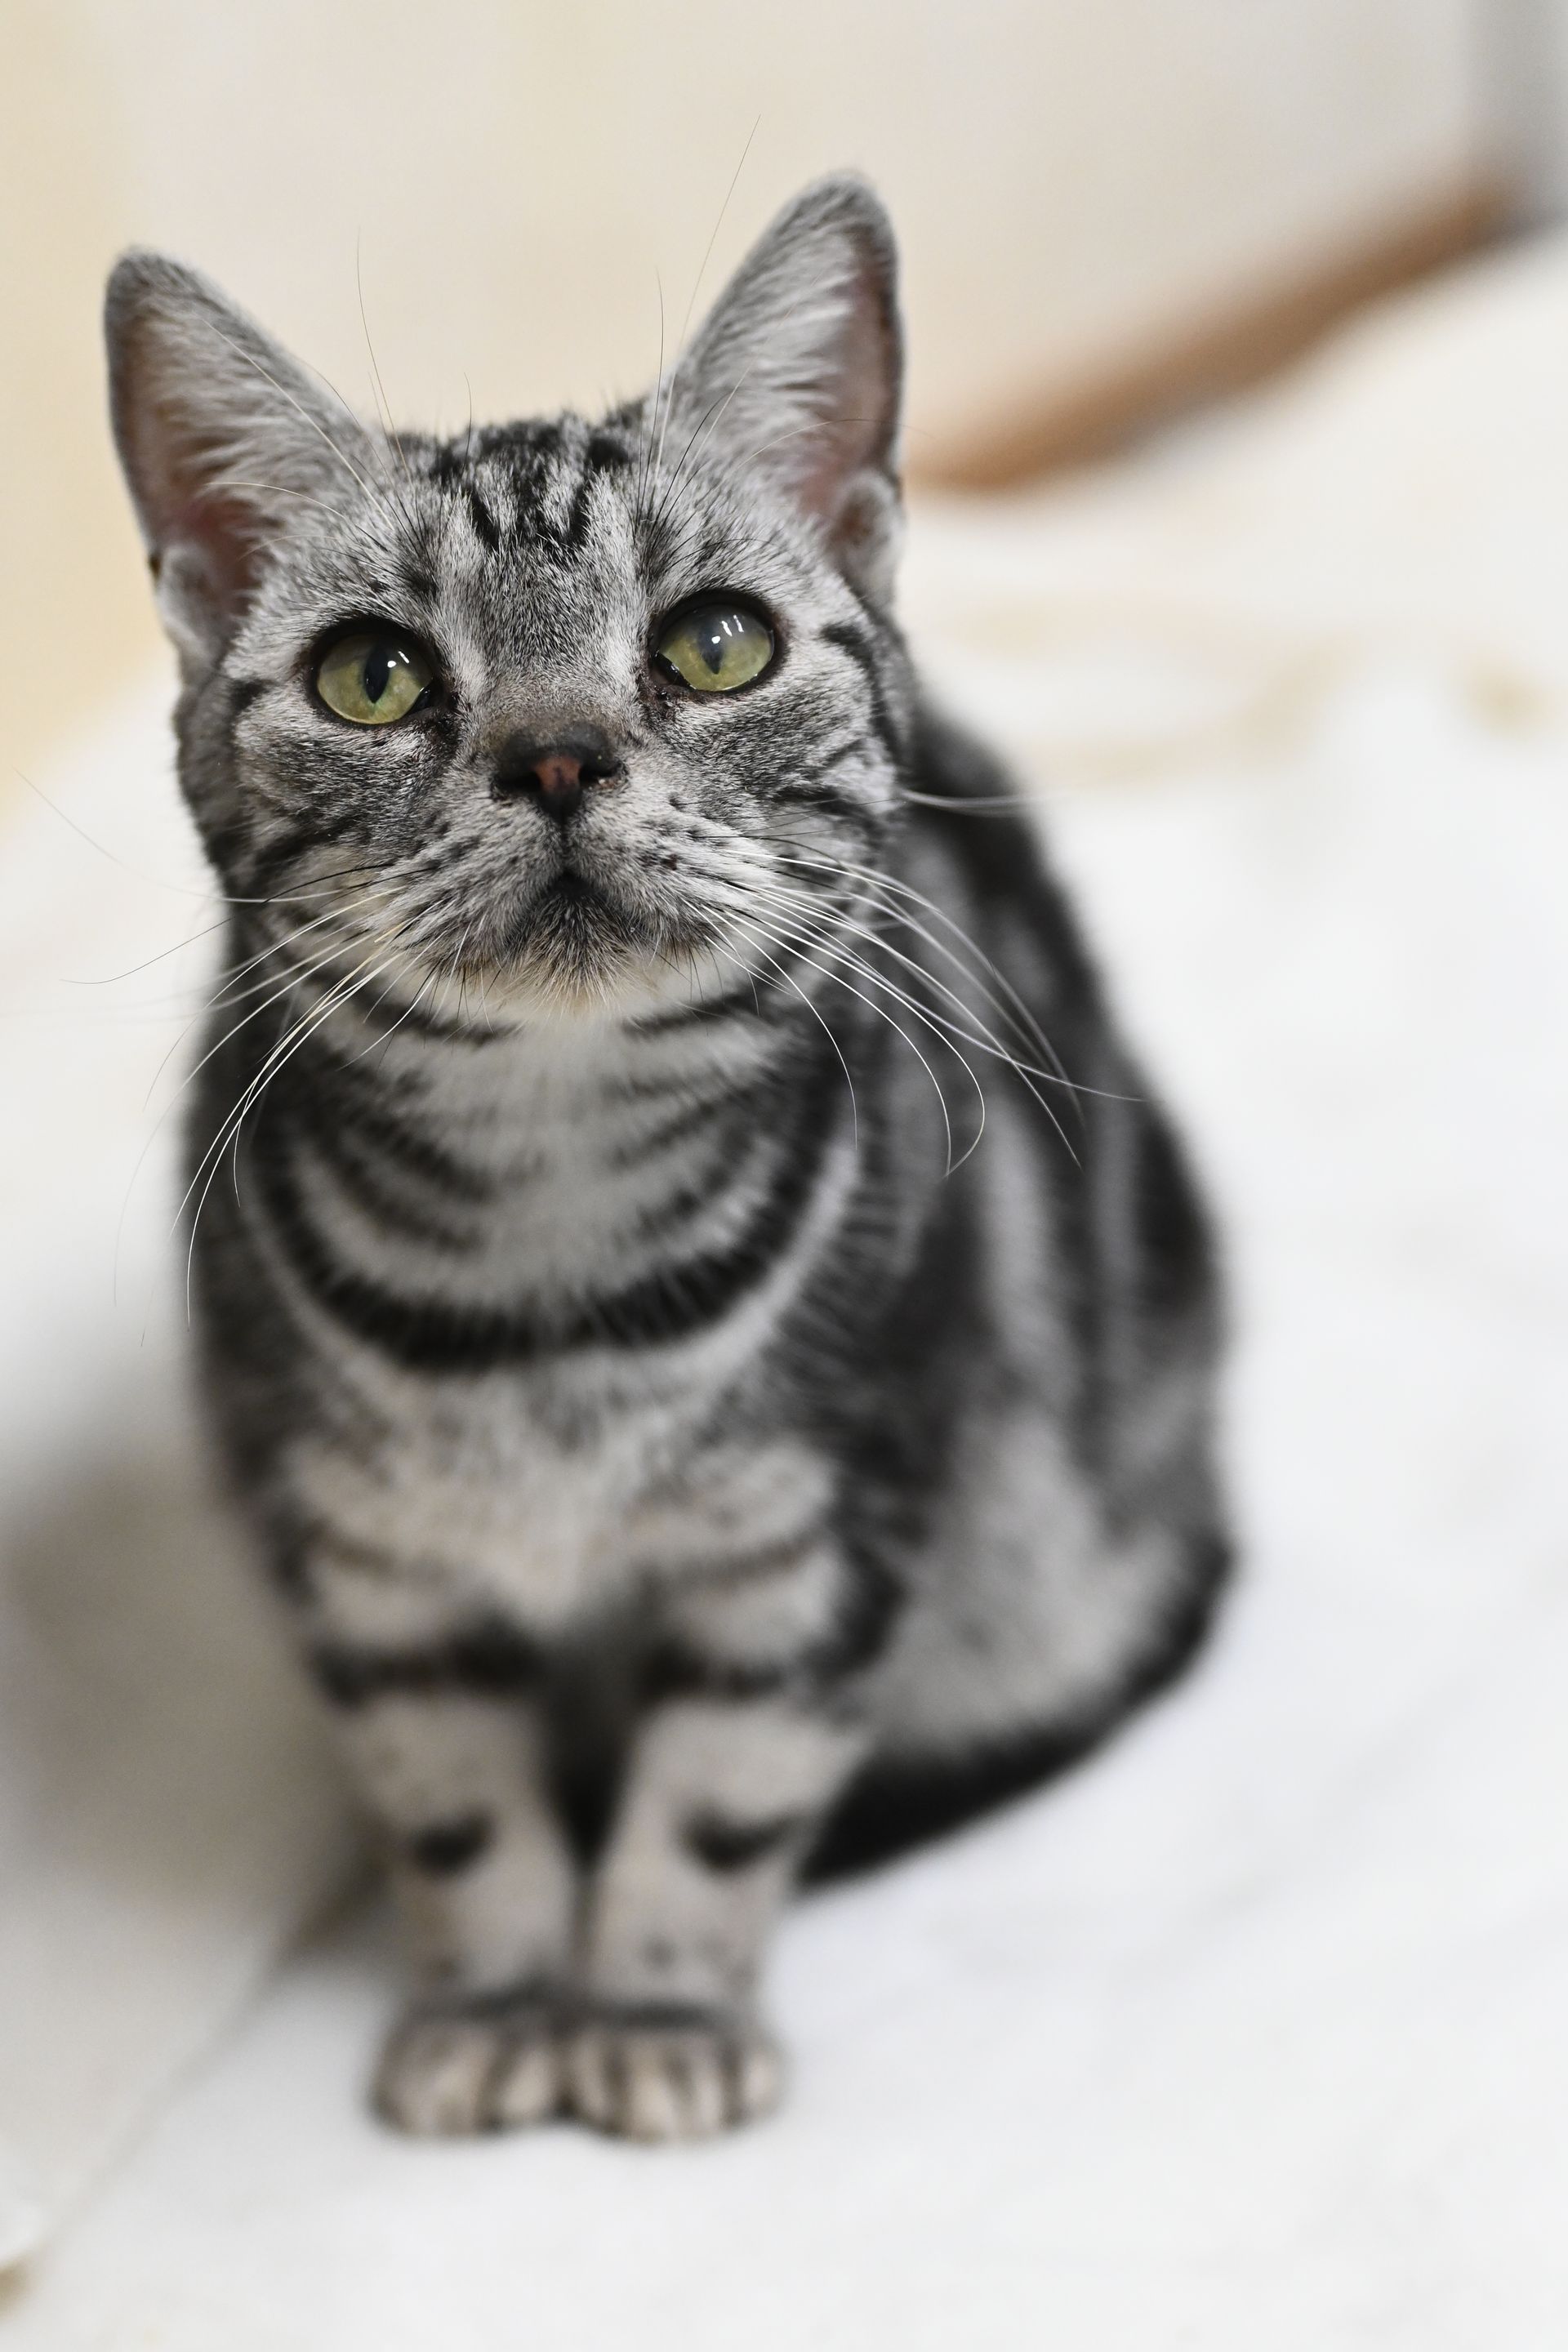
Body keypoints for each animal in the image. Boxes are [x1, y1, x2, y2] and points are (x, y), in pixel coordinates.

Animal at [104, 174, 1232, 2145]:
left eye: (714, 645)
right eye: (373, 675)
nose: (557, 756)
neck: (548, 1237)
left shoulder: (820, 1534)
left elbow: (716, 1805)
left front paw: (646, 2013)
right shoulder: (375, 1572)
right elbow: (454, 1811)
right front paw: (497, 2000)